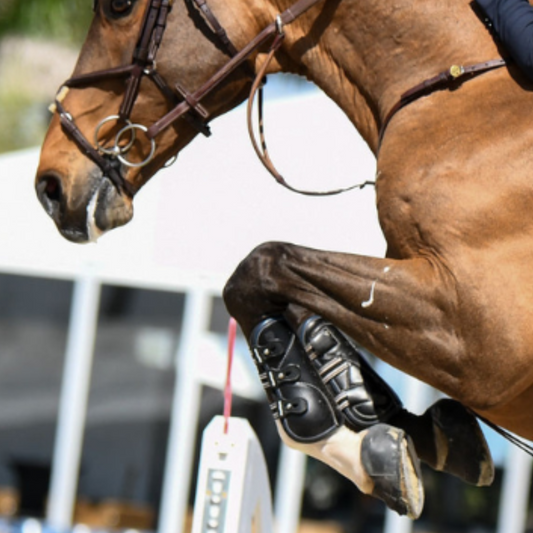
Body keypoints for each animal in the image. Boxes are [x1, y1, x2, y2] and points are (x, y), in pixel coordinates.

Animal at [33, 0, 528, 516]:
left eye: (119, 7)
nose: (50, 185)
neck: (457, 94)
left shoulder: (476, 339)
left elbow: (258, 268)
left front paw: (344, 443)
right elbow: (292, 295)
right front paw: (389, 419)